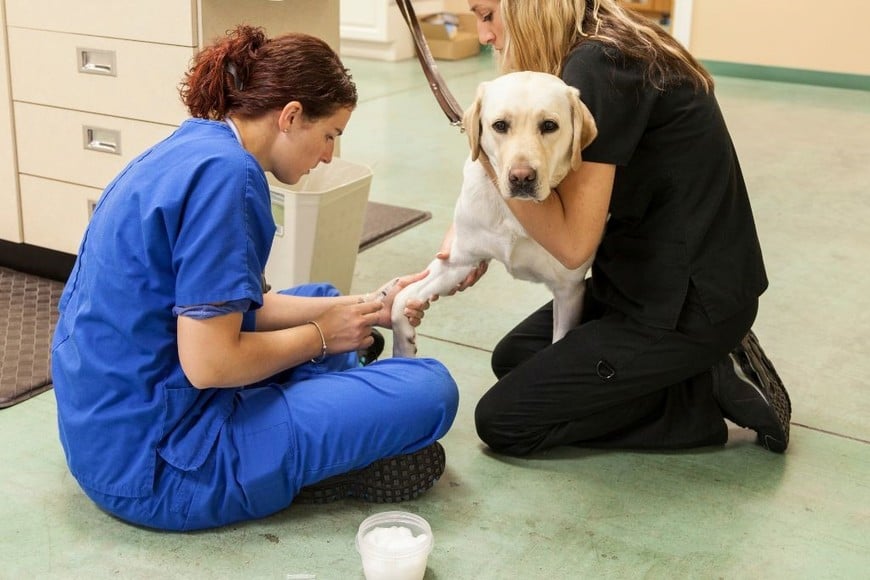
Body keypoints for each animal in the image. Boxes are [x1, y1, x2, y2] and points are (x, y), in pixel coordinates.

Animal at [394, 72, 600, 358]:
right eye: (500, 125)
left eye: (549, 125)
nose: (522, 178)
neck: (513, 212)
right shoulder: (459, 260)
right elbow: (400, 299)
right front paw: (403, 349)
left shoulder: (568, 291)